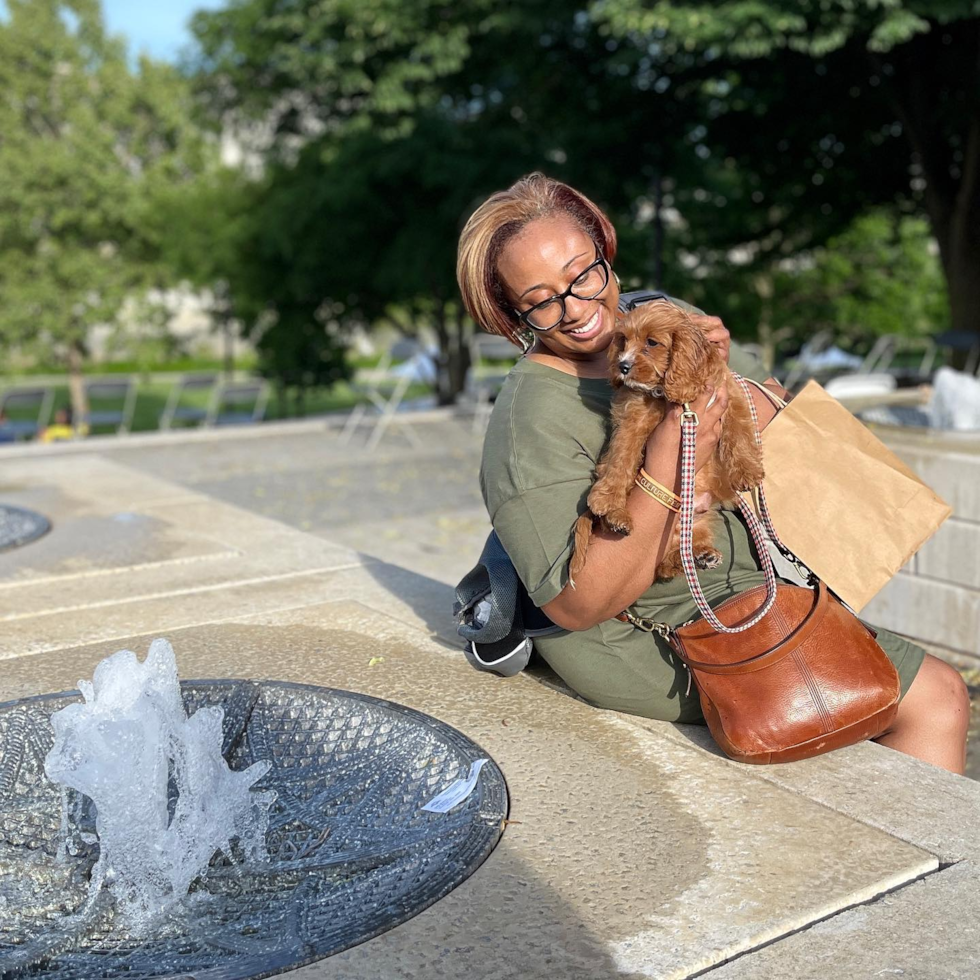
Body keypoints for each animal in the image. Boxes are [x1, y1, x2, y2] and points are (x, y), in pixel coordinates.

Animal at [568, 302, 764, 584]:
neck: (662, 393)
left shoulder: (729, 395)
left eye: (651, 342)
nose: (622, 366)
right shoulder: (633, 419)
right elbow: (622, 458)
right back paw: (618, 518)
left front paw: (746, 472)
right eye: (623, 340)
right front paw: (607, 500)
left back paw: (701, 555)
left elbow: (739, 433)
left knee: (674, 556)